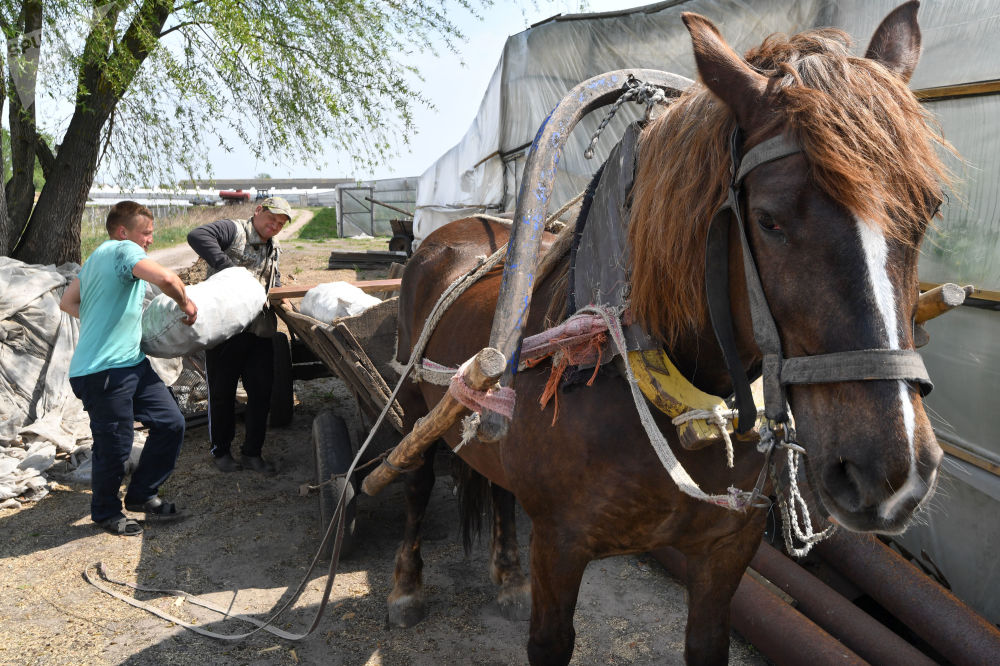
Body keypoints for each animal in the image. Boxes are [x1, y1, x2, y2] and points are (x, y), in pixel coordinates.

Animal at [386, 3, 948, 660]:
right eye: (768, 219)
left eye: (929, 210)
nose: (891, 472)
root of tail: (459, 233)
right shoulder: (559, 546)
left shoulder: (725, 551)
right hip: (413, 406)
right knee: (415, 479)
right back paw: (405, 586)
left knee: (494, 476)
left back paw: (505, 575)